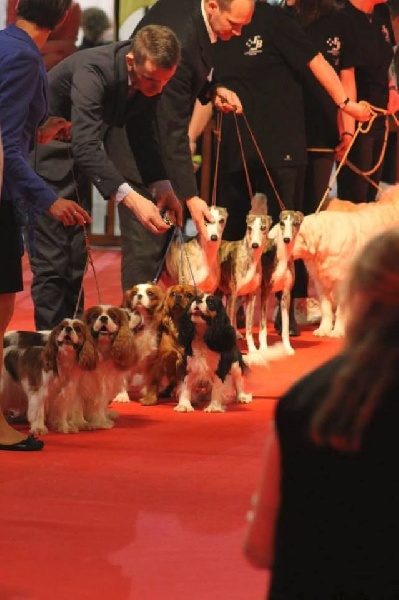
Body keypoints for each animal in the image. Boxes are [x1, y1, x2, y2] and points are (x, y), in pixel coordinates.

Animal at [292, 186, 399, 338]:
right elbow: (326, 308)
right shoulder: (320, 283)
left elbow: (341, 310)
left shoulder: (343, 284)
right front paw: (324, 329)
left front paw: (337, 331)